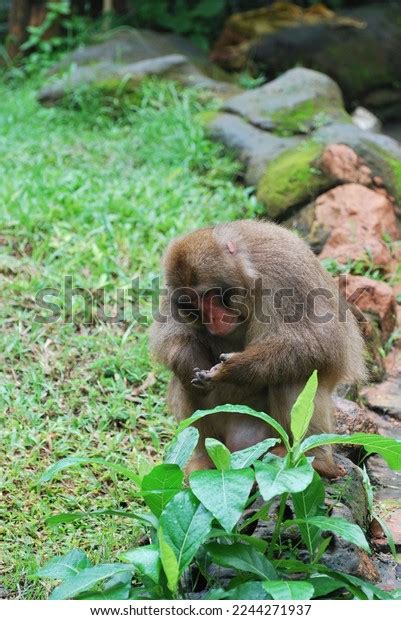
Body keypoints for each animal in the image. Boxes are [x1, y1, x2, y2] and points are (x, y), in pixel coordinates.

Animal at [148, 220, 364, 478]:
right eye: (192, 305)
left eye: (210, 295)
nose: (213, 320)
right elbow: (171, 335)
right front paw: (191, 362)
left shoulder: (285, 274)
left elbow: (320, 343)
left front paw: (233, 369)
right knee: (184, 382)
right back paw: (204, 459)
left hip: (270, 434)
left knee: (295, 373)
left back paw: (317, 460)